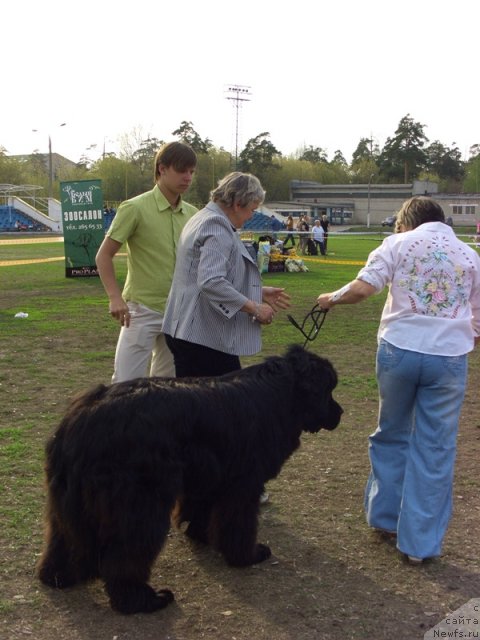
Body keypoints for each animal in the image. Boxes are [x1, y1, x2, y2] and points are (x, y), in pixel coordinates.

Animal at [39, 344, 344, 616]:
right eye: (328, 389)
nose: (340, 413)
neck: (282, 394)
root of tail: (83, 417)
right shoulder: (243, 483)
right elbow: (240, 524)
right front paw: (247, 556)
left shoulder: (210, 476)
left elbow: (202, 510)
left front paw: (201, 535)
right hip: (140, 504)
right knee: (124, 555)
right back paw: (143, 600)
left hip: (67, 498)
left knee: (63, 539)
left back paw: (58, 577)